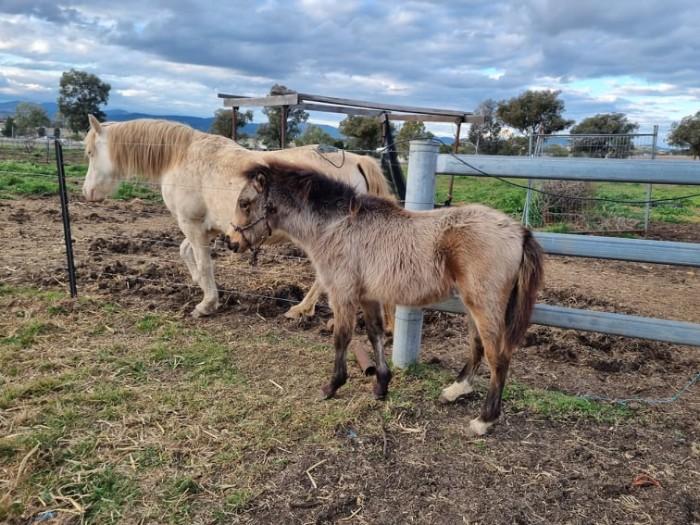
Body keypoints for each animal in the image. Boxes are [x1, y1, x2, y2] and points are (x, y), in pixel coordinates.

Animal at [81, 115, 395, 324]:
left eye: (90, 152)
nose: (87, 192)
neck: (181, 157)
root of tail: (356, 160)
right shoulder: (206, 228)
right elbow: (187, 253)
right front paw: (202, 286)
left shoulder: (192, 225)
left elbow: (203, 263)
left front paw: (206, 303)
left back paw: (302, 309)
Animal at [226, 161, 544, 436]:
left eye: (244, 203)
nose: (231, 243)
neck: (336, 226)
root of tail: (519, 231)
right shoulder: (368, 297)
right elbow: (375, 334)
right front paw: (381, 385)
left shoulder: (342, 294)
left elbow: (341, 338)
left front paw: (332, 387)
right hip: (473, 305)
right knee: (477, 347)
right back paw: (456, 391)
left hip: (484, 305)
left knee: (497, 357)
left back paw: (484, 420)